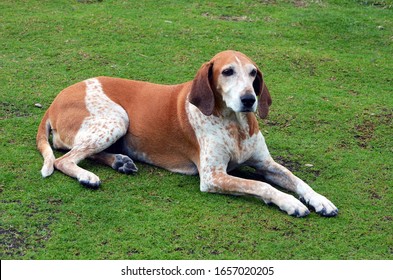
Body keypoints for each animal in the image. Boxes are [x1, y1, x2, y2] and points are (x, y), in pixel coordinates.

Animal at [36, 49, 336, 217]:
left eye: (253, 73)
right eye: (227, 72)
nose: (249, 99)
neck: (235, 124)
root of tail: (54, 101)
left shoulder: (266, 164)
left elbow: (297, 180)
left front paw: (320, 200)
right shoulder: (213, 177)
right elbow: (261, 186)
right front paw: (290, 203)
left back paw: (120, 161)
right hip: (117, 119)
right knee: (64, 159)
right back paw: (88, 176)